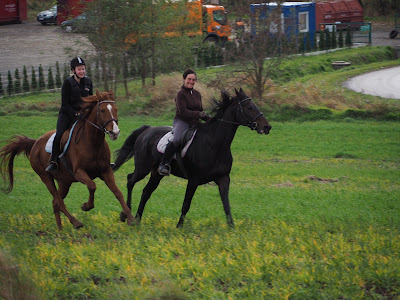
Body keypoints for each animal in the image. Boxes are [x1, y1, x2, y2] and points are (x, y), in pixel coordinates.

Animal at [0, 89, 134, 230]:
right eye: (102, 110)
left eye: (116, 109)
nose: (115, 132)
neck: (93, 143)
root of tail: (35, 143)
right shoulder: (78, 172)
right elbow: (92, 186)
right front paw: (86, 206)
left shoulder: (106, 171)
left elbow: (118, 193)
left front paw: (131, 218)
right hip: (46, 177)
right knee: (58, 201)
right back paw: (76, 222)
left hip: (64, 182)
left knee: (55, 202)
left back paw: (60, 229)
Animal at [112, 88, 272, 227]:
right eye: (249, 107)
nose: (267, 127)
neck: (215, 143)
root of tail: (147, 130)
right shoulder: (193, 180)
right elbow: (186, 205)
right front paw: (179, 227)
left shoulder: (223, 179)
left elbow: (226, 206)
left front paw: (232, 228)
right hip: (142, 168)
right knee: (130, 180)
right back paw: (126, 215)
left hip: (156, 173)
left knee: (146, 192)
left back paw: (137, 219)